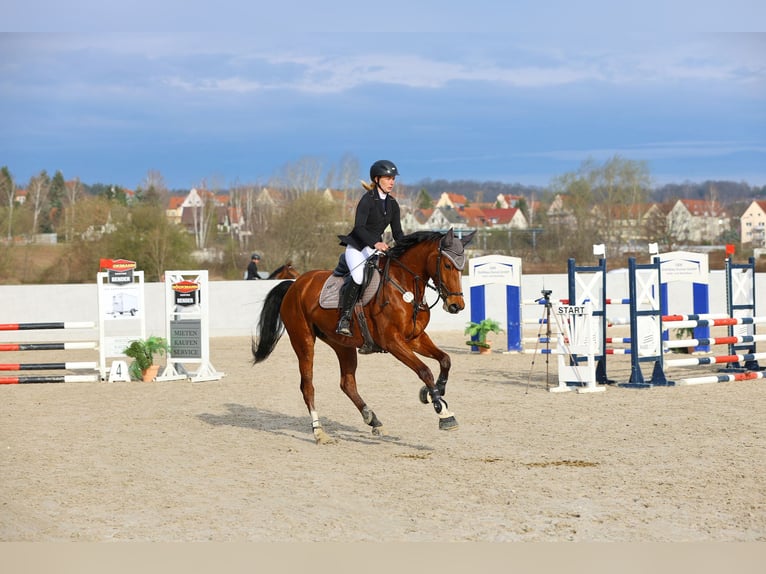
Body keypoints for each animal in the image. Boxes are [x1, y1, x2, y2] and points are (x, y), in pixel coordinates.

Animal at [251, 228, 475, 444]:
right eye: (447, 265)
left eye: (461, 266)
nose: (456, 306)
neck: (405, 287)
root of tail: (295, 284)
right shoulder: (393, 342)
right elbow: (424, 371)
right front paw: (443, 412)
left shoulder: (415, 338)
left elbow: (445, 360)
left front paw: (434, 392)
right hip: (303, 340)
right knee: (307, 385)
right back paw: (320, 433)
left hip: (342, 344)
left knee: (347, 383)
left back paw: (373, 420)